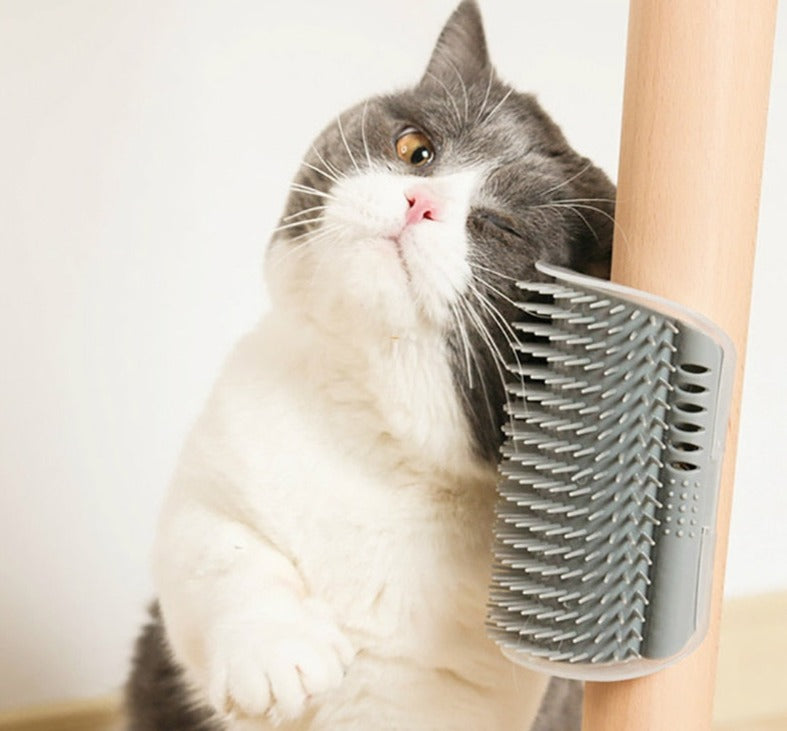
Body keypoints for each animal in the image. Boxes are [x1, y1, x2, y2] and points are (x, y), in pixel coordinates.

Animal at [124, 2, 616, 728]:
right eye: (416, 148)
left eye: (502, 229)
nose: (419, 202)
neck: (371, 440)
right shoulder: (209, 481)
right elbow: (214, 548)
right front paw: (276, 652)